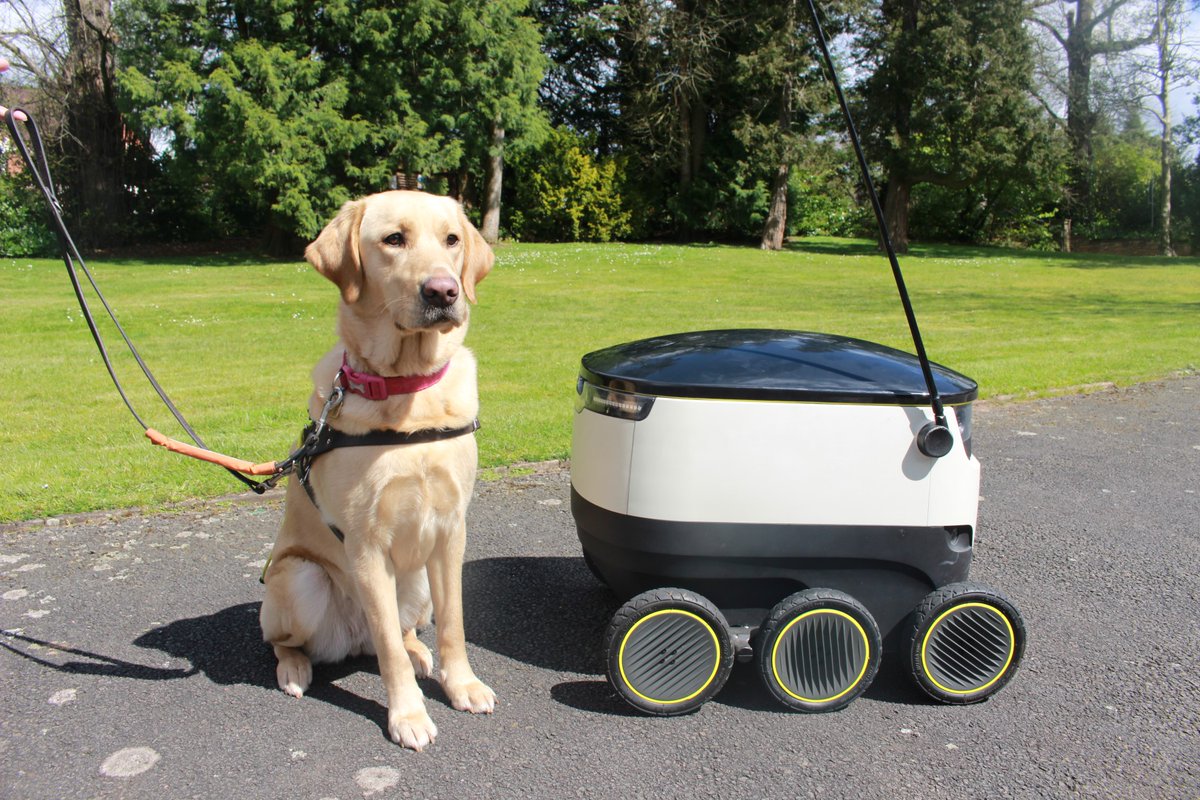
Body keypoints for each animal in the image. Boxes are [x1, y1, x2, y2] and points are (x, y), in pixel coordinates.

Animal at [262, 190, 496, 753]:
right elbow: (387, 647)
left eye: (451, 240)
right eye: (394, 239)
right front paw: (408, 715)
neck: (408, 389)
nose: (443, 290)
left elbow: (453, 623)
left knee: (403, 630)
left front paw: (462, 685)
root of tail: (350, 640)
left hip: (417, 584)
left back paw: (418, 651)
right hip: (298, 579)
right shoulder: (365, 543)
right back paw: (294, 670)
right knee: (290, 642)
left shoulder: (451, 531)